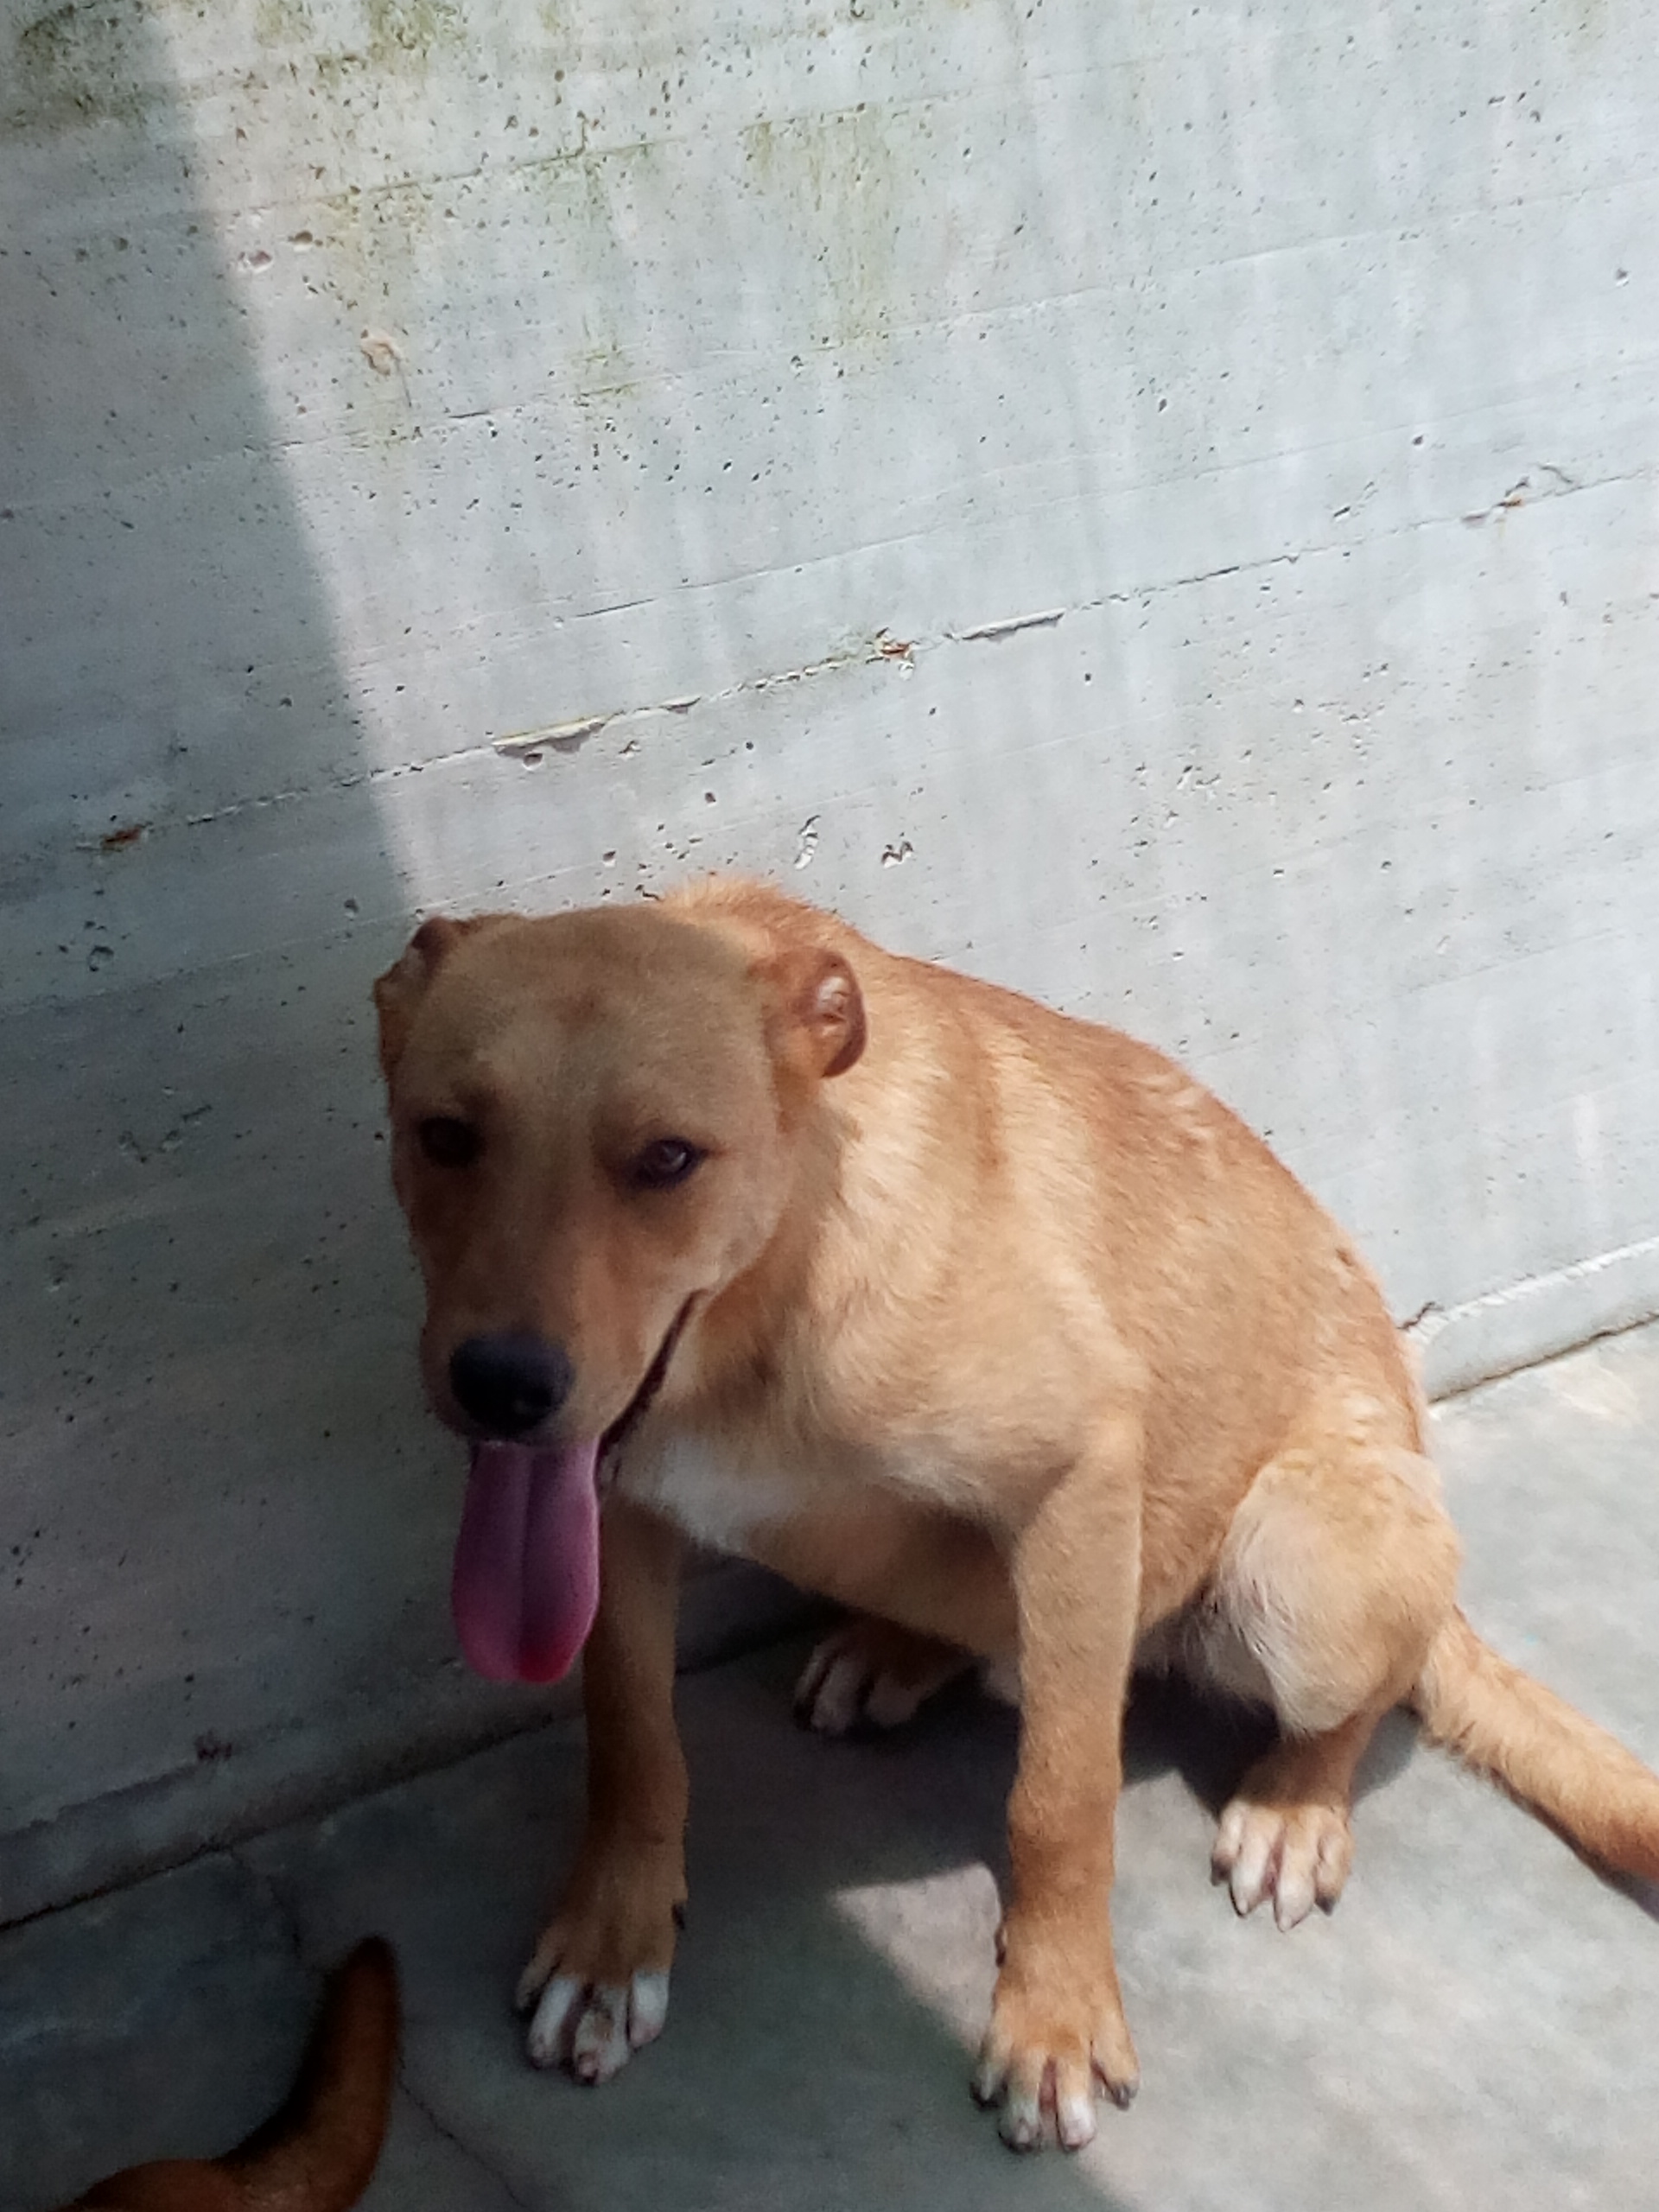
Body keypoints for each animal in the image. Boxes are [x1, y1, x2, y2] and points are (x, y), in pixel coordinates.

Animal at [375, 877, 1659, 2152]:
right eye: (445, 1136)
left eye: (667, 1159)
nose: (500, 1388)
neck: (782, 1270)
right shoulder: (619, 1509)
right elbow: (634, 1740)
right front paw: (612, 1942)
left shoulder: (1080, 1477)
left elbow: (1062, 1795)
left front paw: (1056, 2014)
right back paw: (893, 1649)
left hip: (1304, 1566)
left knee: (1364, 1689)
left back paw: (1295, 1804)